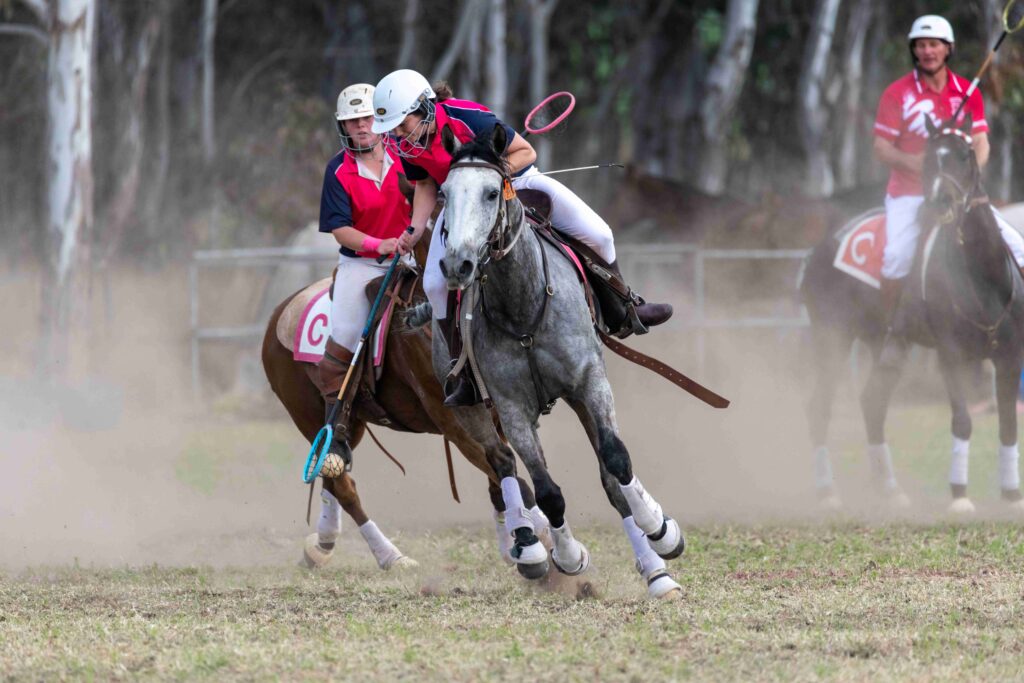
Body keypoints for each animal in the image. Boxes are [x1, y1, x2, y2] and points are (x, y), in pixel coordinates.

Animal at [260, 255, 548, 573]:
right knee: (345, 488)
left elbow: (500, 480)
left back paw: (322, 543)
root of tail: (278, 313)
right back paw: (389, 555)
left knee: (331, 471)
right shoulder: (455, 426)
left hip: (348, 426)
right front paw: (538, 537)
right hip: (307, 416)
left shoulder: (496, 419)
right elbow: (511, 477)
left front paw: (513, 544)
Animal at [417, 126, 688, 598]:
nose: (456, 264)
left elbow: (617, 462)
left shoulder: (589, 382)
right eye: (444, 194)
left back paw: (657, 566)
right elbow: (546, 490)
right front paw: (568, 555)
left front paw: (661, 529)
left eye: (492, 192)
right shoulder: (511, 407)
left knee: (611, 478)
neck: (522, 308)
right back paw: (529, 547)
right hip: (468, 406)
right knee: (503, 463)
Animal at [798, 117, 1024, 511]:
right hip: (832, 337)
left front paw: (1011, 496)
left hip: (886, 344)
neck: (983, 279)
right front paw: (959, 495)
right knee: (819, 408)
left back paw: (890, 490)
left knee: (872, 403)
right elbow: (962, 420)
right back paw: (828, 493)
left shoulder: (1010, 357)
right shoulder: (951, 355)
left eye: (965, 155)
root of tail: (819, 251)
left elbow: (1009, 425)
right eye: (929, 159)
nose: (942, 201)